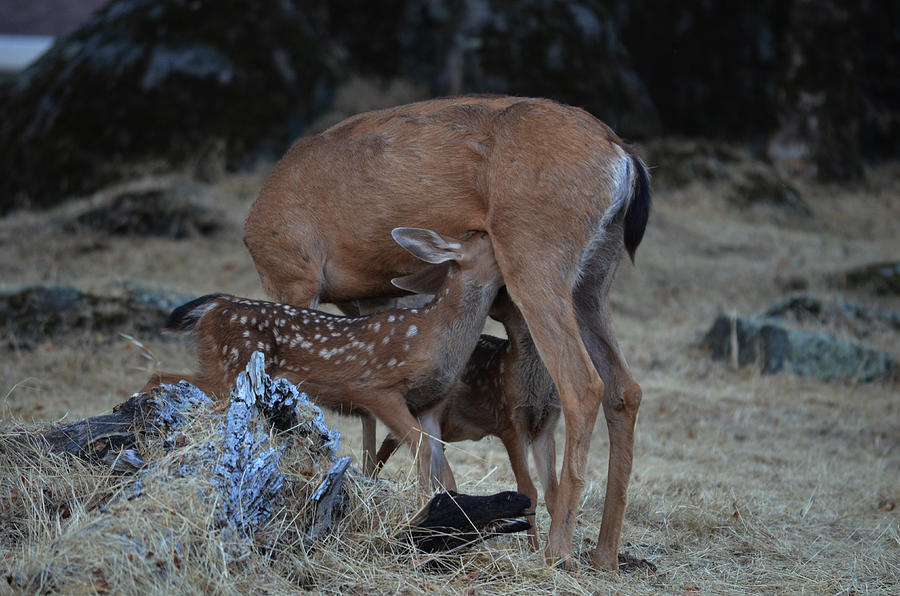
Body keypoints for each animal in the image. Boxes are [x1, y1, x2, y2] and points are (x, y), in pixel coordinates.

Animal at [144, 227, 502, 488]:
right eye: (486, 237)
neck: (433, 336)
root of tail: (213, 306)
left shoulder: (430, 403)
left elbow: (441, 461)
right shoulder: (374, 385)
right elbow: (423, 450)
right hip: (229, 366)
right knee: (160, 377)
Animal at [376, 288, 560, 548]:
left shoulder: (547, 427)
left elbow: (553, 492)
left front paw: (552, 551)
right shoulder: (511, 424)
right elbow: (528, 490)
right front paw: (533, 548)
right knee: (392, 447)